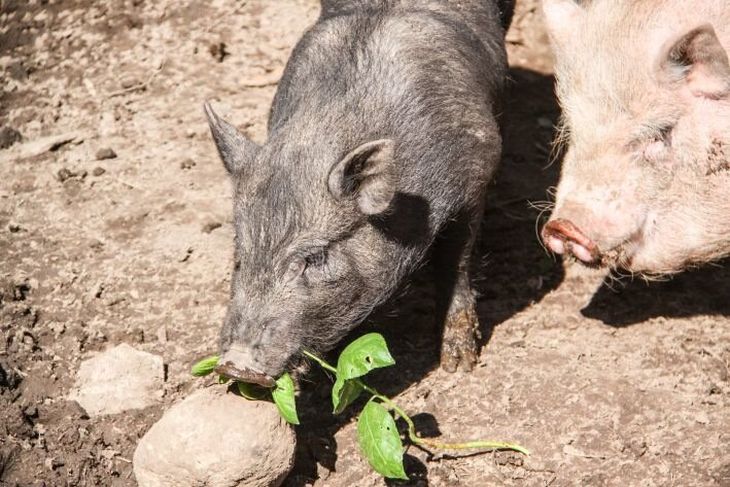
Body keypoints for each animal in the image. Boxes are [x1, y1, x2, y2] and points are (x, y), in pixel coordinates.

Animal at [203, 0, 512, 386]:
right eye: (240, 256)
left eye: (315, 257)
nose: (235, 364)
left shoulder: (476, 175)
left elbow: (456, 263)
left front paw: (458, 365)